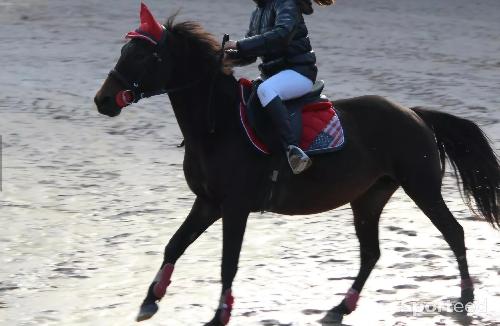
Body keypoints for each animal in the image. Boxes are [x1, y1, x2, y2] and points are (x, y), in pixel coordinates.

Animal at [94, 5, 500, 326]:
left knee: (453, 233)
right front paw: (150, 299)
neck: (217, 124)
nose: (103, 100)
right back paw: (340, 308)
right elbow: (174, 245)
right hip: (368, 198)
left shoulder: (235, 206)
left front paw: (219, 315)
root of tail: (413, 114)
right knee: (371, 253)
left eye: (144, 57)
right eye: (124, 50)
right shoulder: (208, 202)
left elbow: (228, 261)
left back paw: (465, 296)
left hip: (422, 187)